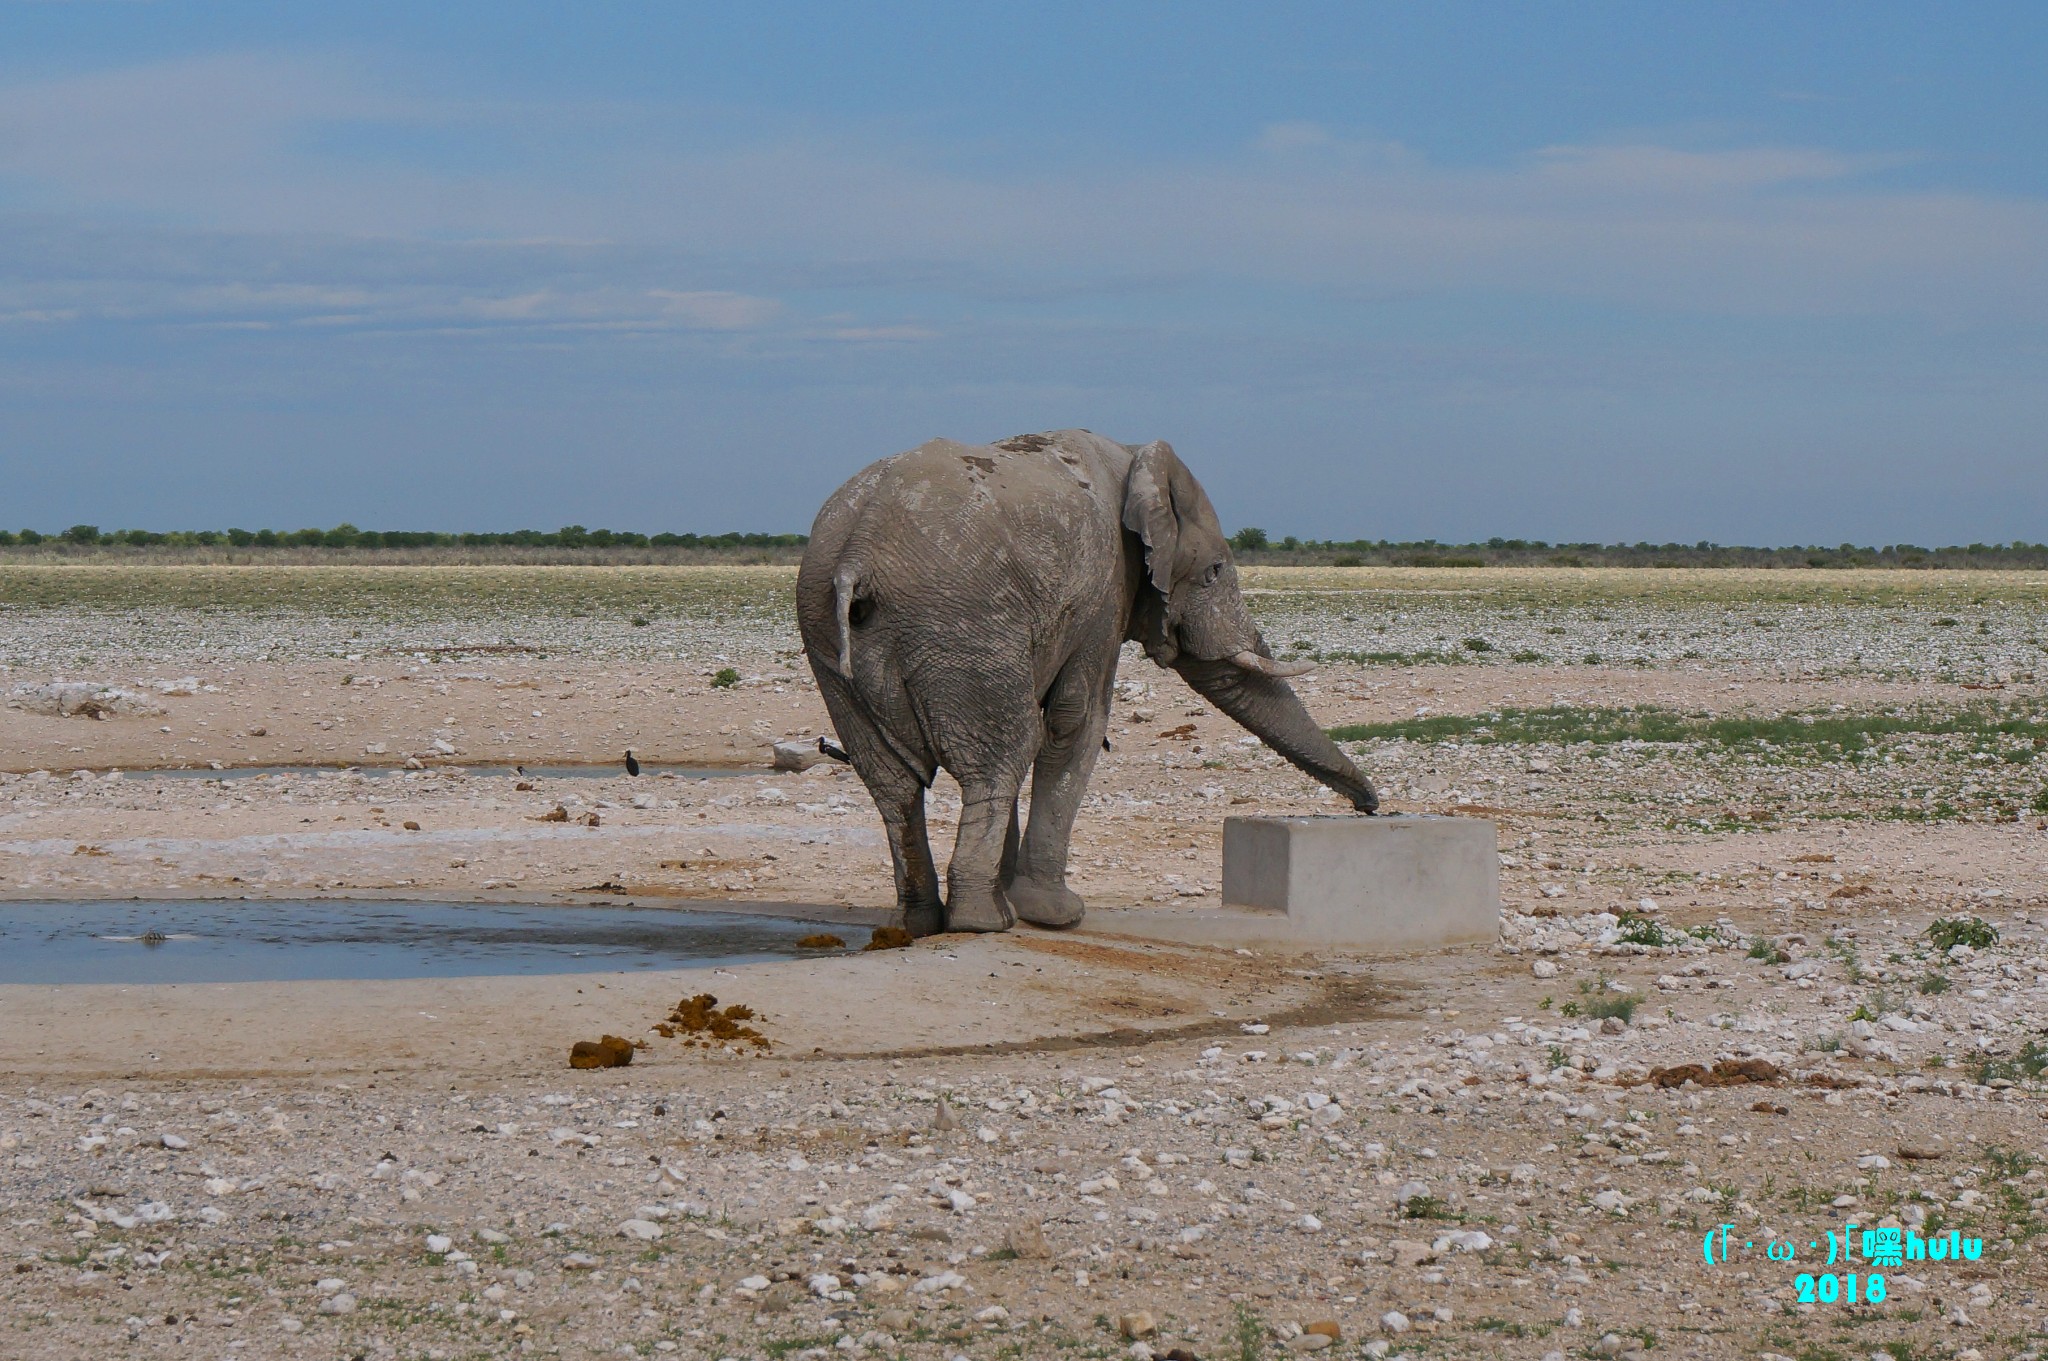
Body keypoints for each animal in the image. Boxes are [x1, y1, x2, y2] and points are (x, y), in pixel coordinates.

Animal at [794, 431, 1376, 933]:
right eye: (1213, 572)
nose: (1368, 808)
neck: (1133, 456)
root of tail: (857, 549)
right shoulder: (1104, 590)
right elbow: (1076, 723)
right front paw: (1055, 915)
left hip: (825, 629)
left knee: (891, 780)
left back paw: (919, 922)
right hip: (957, 622)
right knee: (1000, 757)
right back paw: (984, 921)